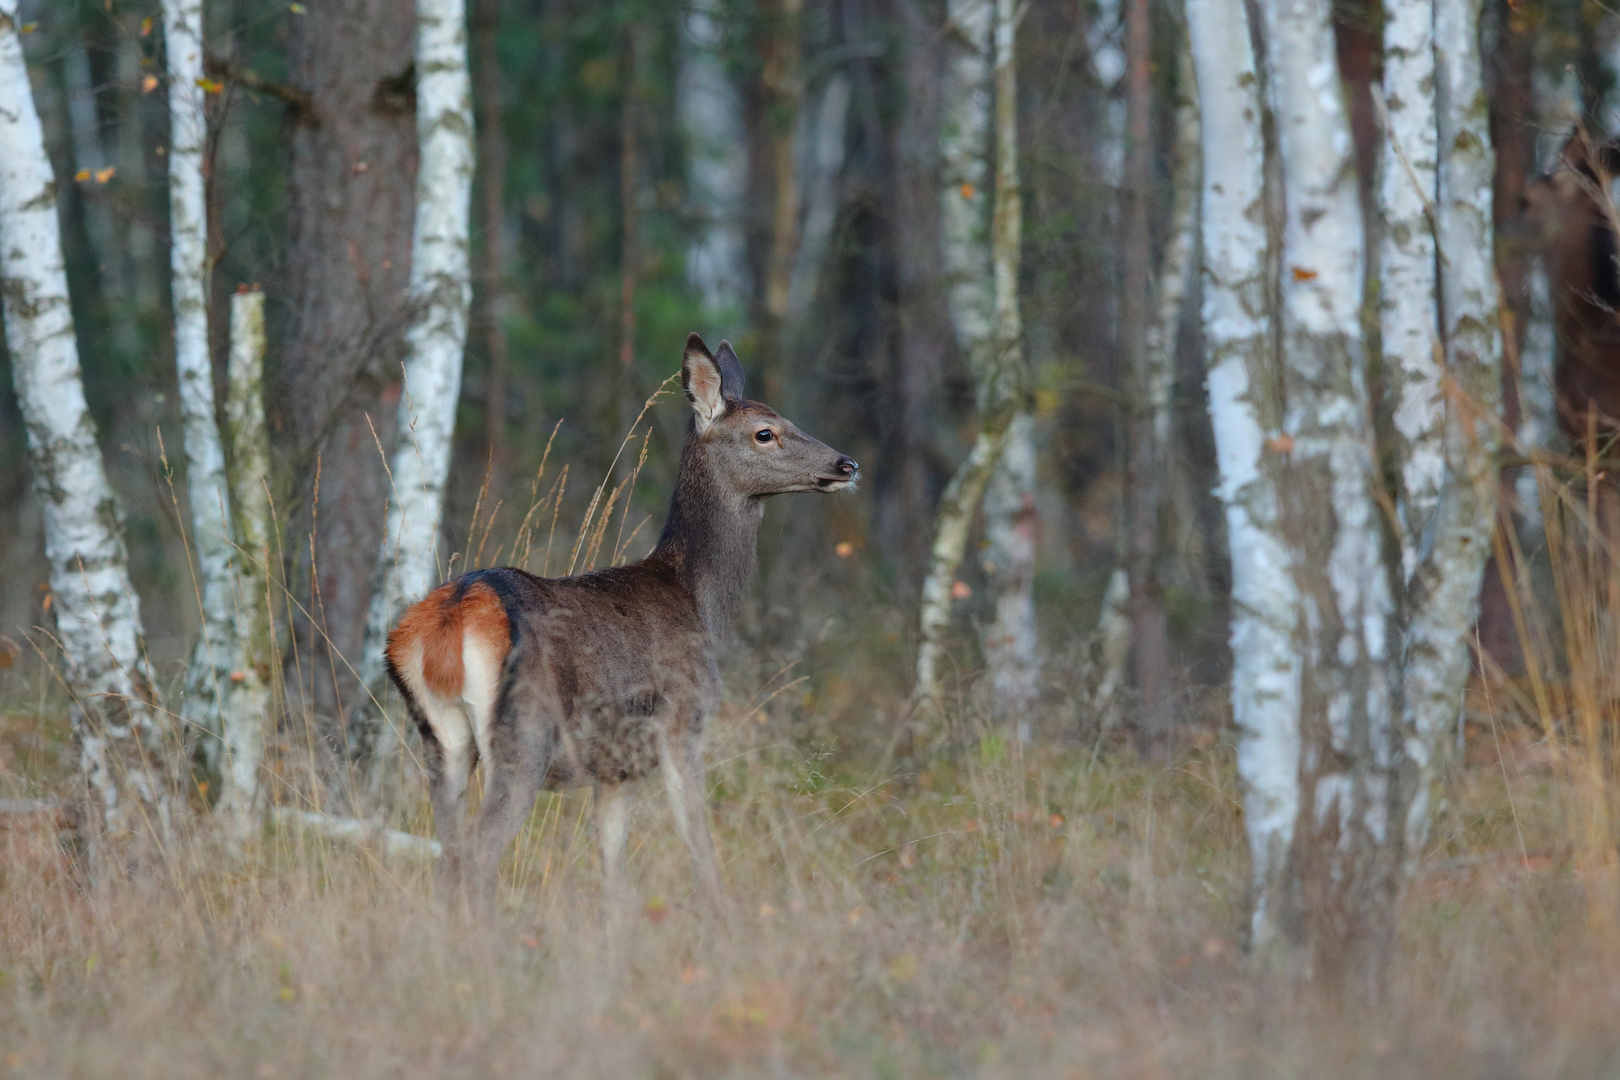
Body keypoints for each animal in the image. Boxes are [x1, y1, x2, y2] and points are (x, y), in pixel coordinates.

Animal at [380, 335, 861, 913]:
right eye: (765, 432)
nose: (847, 464)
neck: (698, 600)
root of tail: (451, 617)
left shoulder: (615, 769)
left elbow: (614, 871)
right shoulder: (680, 721)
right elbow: (698, 844)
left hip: (441, 739)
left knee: (446, 856)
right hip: (525, 733)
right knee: (477, 854)